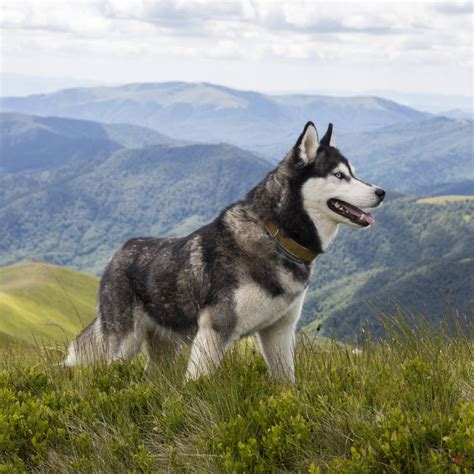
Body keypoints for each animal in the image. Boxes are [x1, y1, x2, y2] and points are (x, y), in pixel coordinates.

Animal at [65, 121, 386, 382]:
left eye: (354, 173)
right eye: (339, 175)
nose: (381, 192)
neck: (276, 235)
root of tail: (118, 253)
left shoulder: (278, 332)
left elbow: (287, 383)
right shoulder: (214, 330)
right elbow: (197, 384)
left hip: (165, 347)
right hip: (123, 343)